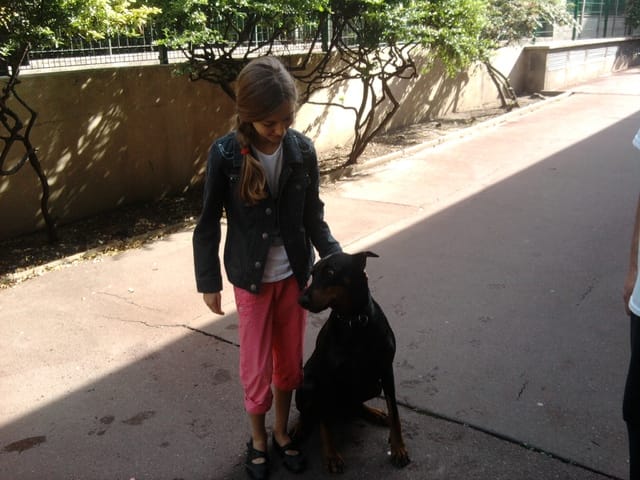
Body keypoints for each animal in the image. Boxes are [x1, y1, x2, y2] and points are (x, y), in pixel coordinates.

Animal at [295, 251, 410, 473]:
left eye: (330, 272)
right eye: (312, 273)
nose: (301, 300)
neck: (353, 320)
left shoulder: (386, 370)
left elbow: (395, 412)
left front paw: (398, 447)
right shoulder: (325, 376)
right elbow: (324, 423)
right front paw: (331, 456)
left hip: (373, 385)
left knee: (354, 405)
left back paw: (374, 413)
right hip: (308, 384)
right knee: (312, 413)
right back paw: (299, 428)